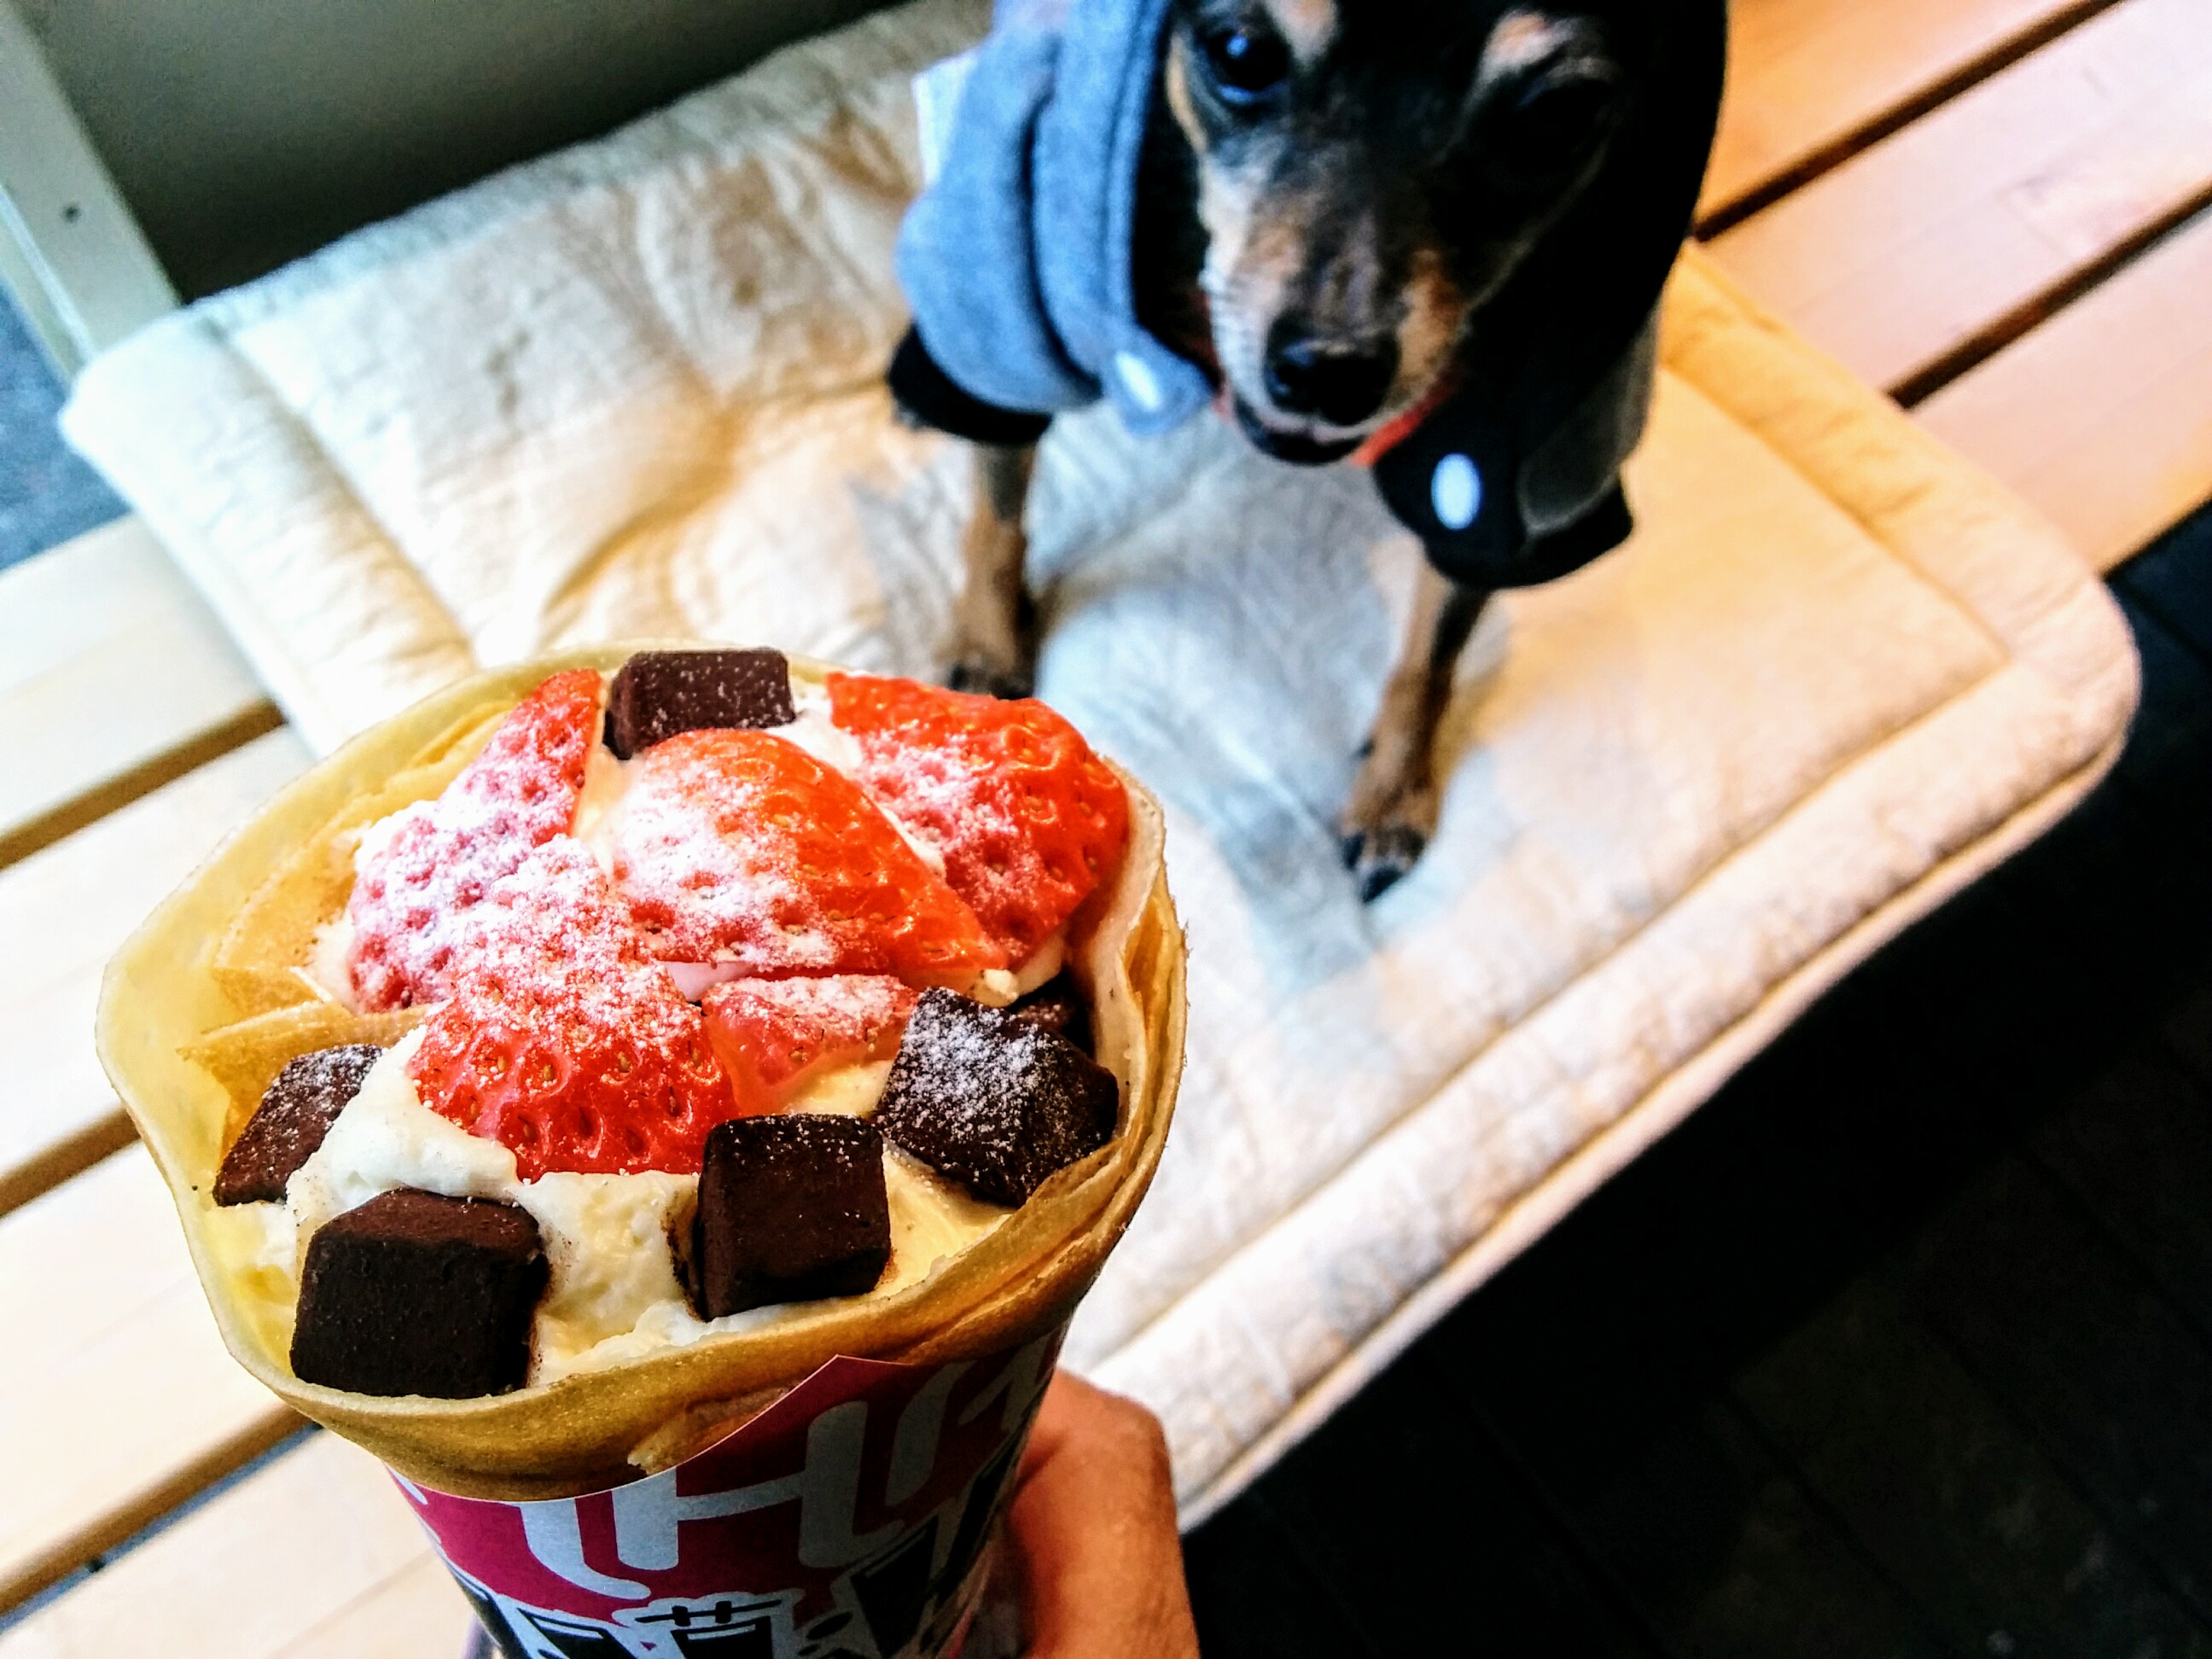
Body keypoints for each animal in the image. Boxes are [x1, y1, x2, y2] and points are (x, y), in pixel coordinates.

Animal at [888, 0, 1716, 898]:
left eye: (1560, 116)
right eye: (1240, 51)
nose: (1330, 372)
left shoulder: (1500, 471)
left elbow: (1433, 653)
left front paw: (1392, 789)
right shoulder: (1016, 299)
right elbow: (995, 511)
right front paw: (985, 647)